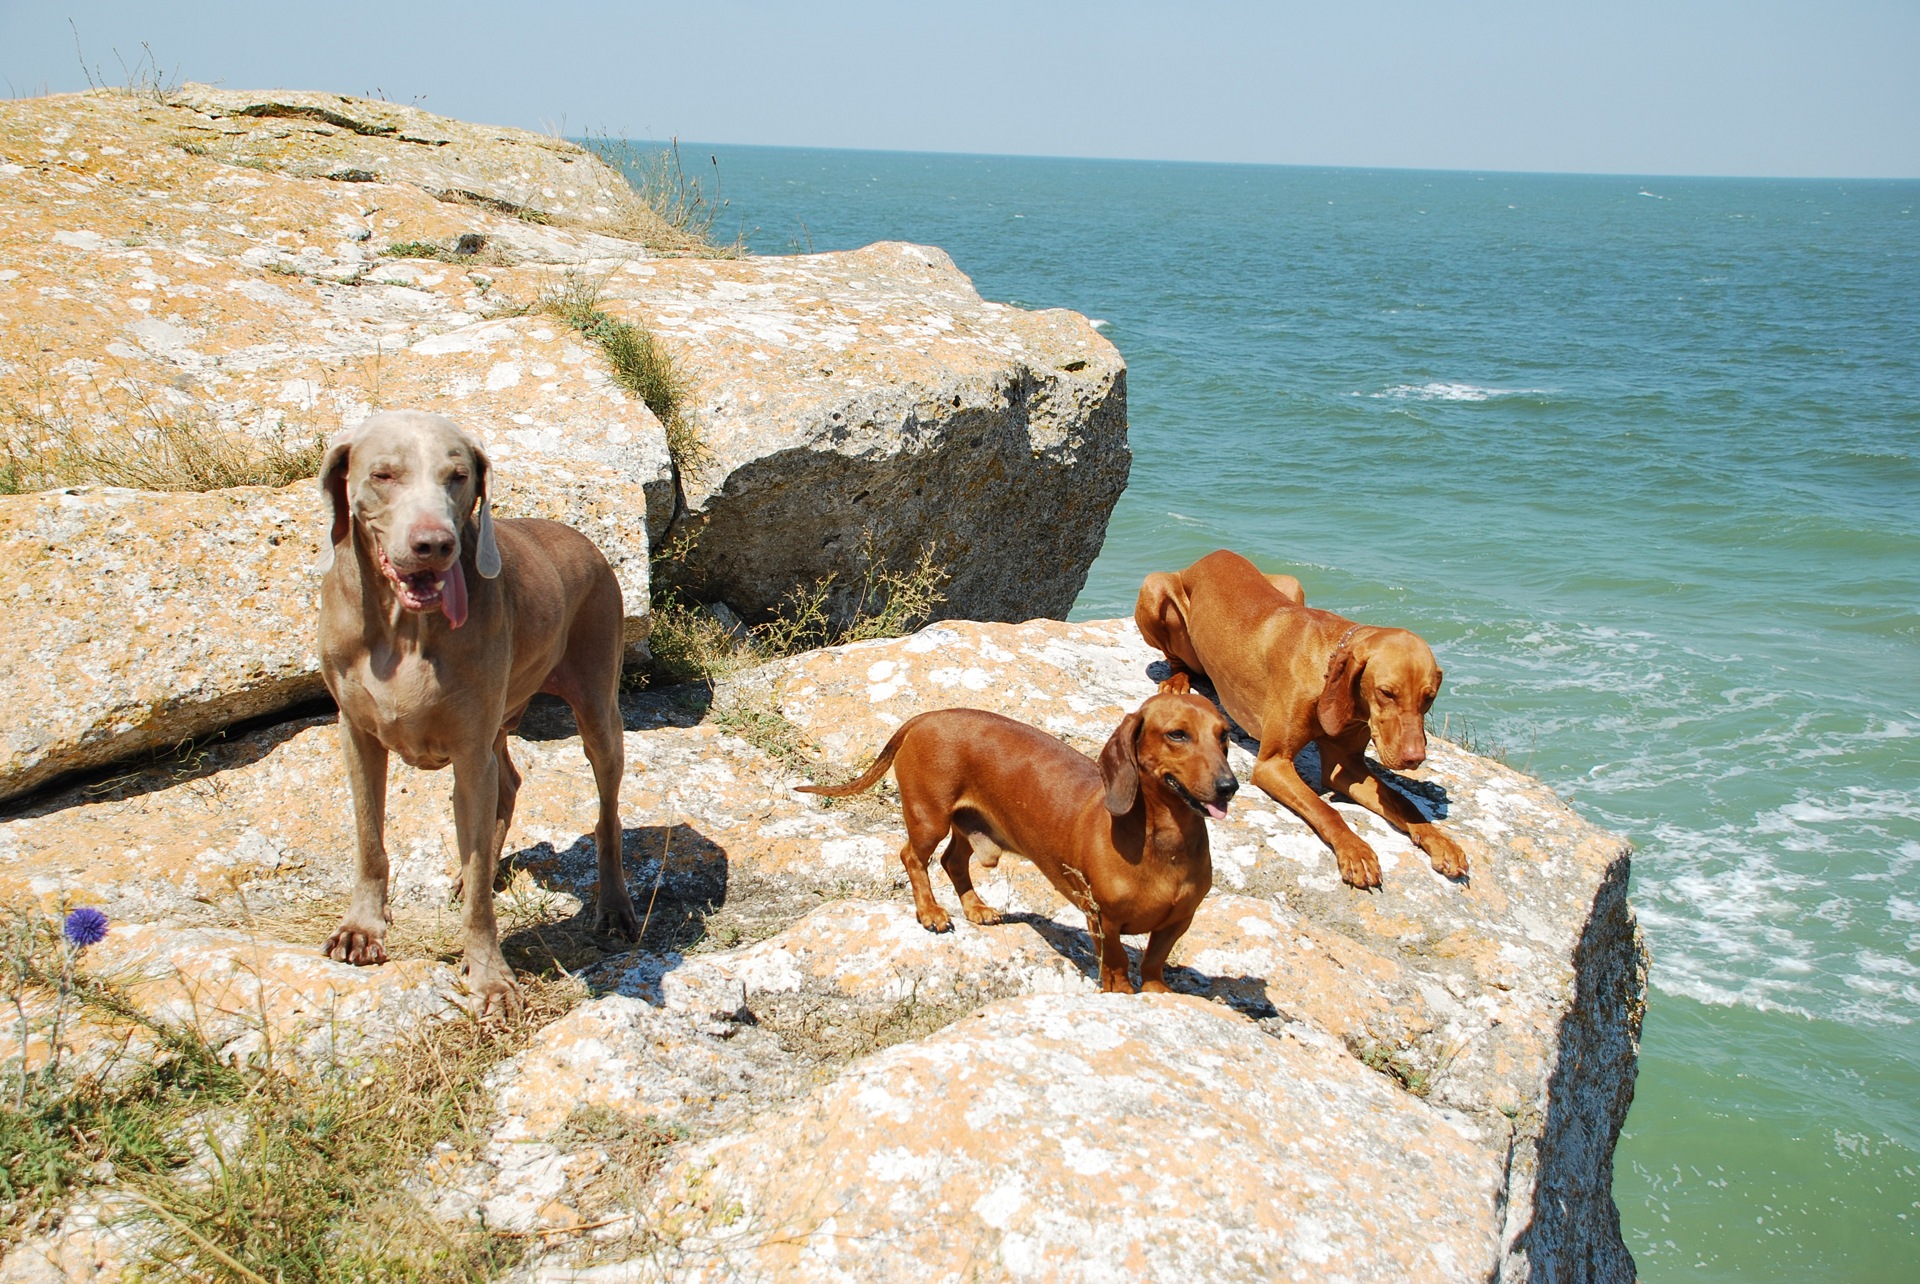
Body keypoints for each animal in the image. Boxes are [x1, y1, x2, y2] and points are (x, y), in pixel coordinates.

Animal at [314, 410, 637, 1013]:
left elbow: (479, 896)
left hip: (597, 707)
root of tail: (583, 539)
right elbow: (370, 838)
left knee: (606, 814)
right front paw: (362, 929)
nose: (433, 544)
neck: (404, 630)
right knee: (507, 781)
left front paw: (489, 977)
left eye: (458, 476)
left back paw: (613, 906)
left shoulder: (467, 749)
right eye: (383, 474)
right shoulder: (358, 734)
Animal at [794, 694, 1228, 990]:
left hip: (968, 824)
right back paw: (930, 912)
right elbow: (1118, 965)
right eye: (1177, 734)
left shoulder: (1179, 920)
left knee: (952, 862)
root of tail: (927, 716)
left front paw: (1157, 993)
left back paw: (975, 908)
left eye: (1224, 736)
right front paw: (1121, 993)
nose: (1230, 786)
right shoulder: (1102, 918)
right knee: (912, 858)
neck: (1165, 846)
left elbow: (1154, 962)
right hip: (929, 819)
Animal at [1128, 545, 1459, 886]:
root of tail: (1212, 554)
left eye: (1429, 698)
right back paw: (1178, 680)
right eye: (1386, 692)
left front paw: (1438, 840)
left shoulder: (1345, 765)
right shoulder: (1272, 763)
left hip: (1292, 584)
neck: (1326, 668)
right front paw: (1356, 850)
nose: (1414, 758)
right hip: (1154, 588)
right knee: (1176, 659)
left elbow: (1401, 801)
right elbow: (1324, 809)